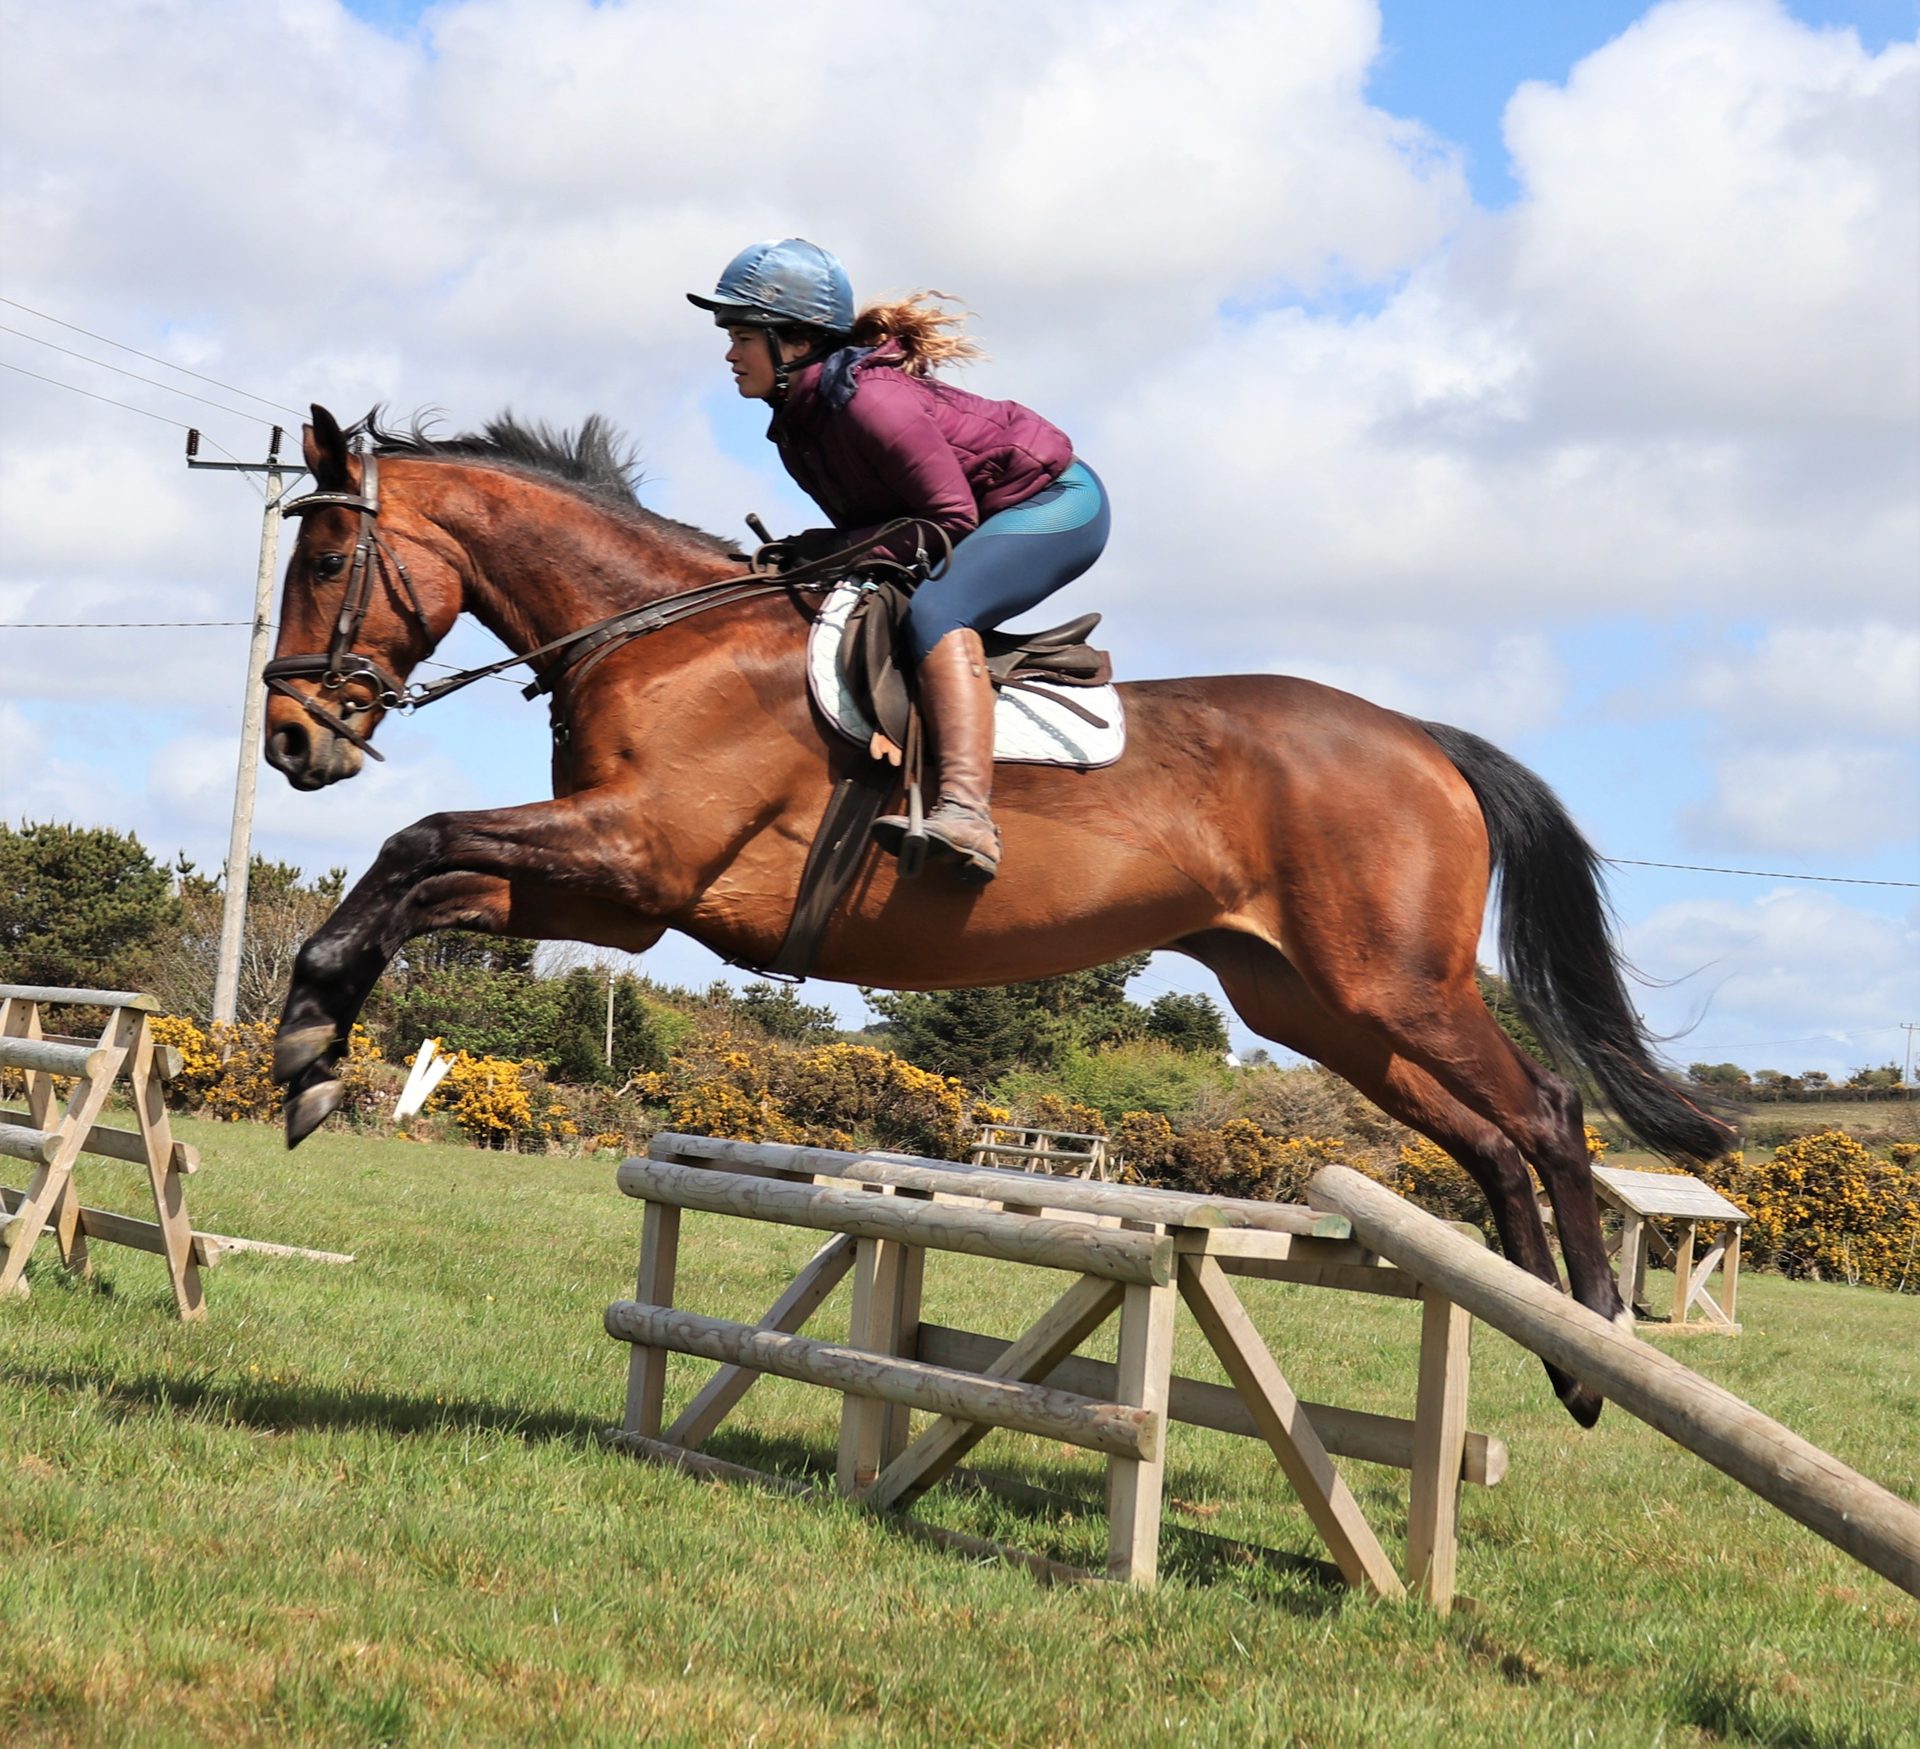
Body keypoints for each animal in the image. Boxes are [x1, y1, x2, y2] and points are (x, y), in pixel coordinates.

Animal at [265, 403, 1732, 1427]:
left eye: (328, 554)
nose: (291, 739)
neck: (657, 632)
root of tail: (1424, 742)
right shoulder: (617, 895)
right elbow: (420, 872)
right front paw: (314, 1038)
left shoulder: (637, 859)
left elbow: (418, 838)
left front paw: (303, 1042)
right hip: (1316, 1004)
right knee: (1487, 1140)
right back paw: (1550, 1334)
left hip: (1395, 986)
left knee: (1546, 1112)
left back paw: (1595, 1342)